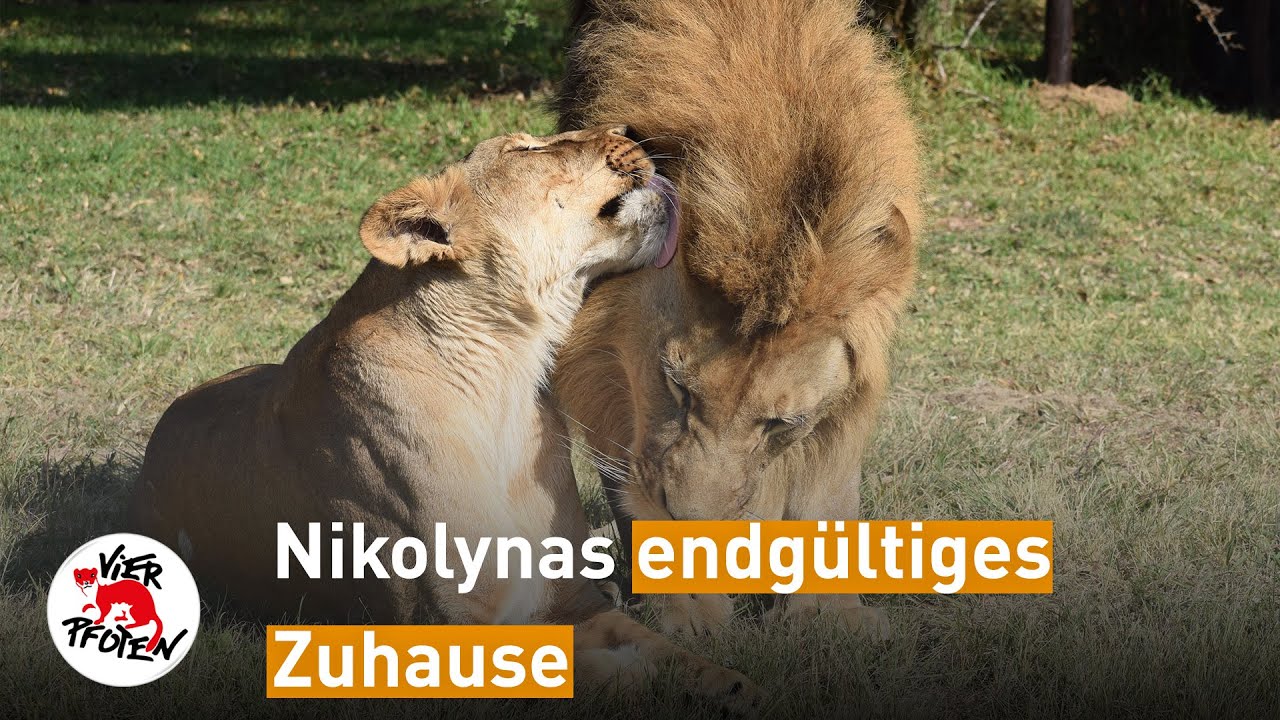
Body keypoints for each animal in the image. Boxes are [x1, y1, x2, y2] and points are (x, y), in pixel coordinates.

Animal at [131, 125, 760, 712]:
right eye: (526, 150)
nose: (632, 131)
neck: (507, 378)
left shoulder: (570, 602)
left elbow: (669, 653)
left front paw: (733, 684)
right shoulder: (444, 641)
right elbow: (580, 674)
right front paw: (637, 679)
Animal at [553, 0, 923, 635]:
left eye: (779, 423)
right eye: (677, 387)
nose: (691, 519)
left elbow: (830, 489)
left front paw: (835, 614)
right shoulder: (615, 379)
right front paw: (690, 611)